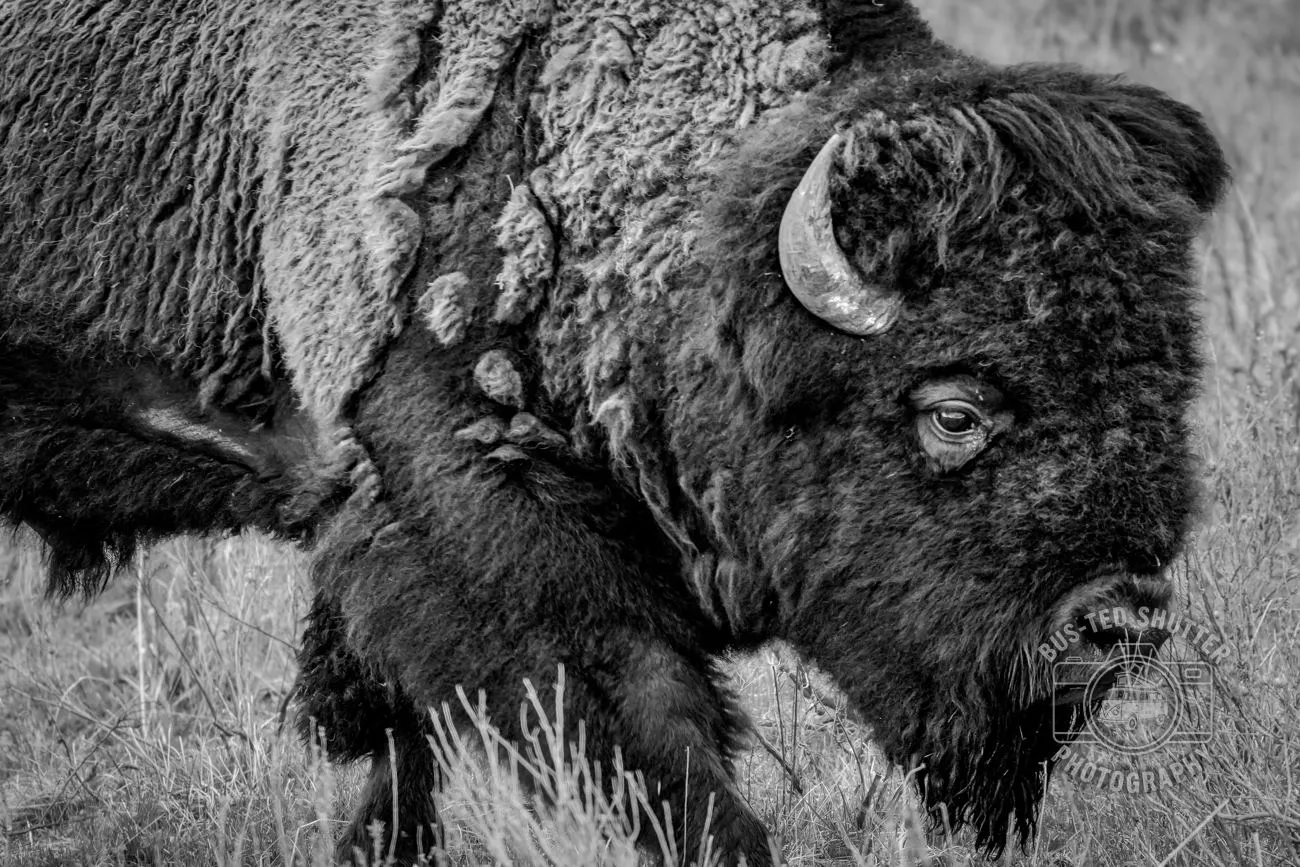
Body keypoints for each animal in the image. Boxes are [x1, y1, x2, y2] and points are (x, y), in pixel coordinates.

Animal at [0, 0, 1228, 864]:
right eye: (954, 411)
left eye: (1169, 383)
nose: (1117, 621)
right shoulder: (488, 540)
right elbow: (648, 748)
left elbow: (392, 746)